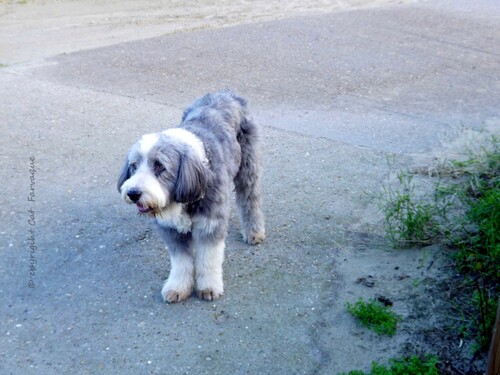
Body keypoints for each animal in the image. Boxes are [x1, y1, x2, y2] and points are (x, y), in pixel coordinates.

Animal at [117, 92, 266, 304]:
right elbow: (181, 262)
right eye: (134, 166)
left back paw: (254, 232)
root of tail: (226, 92)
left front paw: (209, 287)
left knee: (250, 199)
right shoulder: (170, 230)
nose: (133, 193)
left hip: (248, 166)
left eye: (159, 166)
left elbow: (208, 257)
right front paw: (178, 287)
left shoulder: (210, 222)